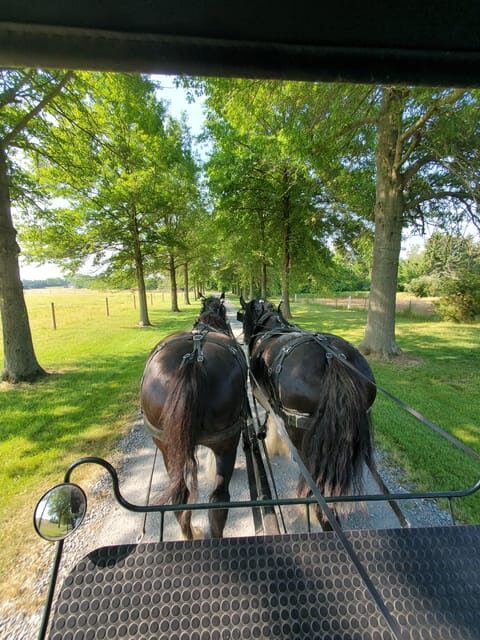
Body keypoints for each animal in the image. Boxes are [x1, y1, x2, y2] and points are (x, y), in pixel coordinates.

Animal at [238, 296, 377, 529]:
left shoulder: (261, 393)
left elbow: (269, 416)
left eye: (246, 314)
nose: (247, 338)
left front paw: (266, 436)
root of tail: (333, 359)